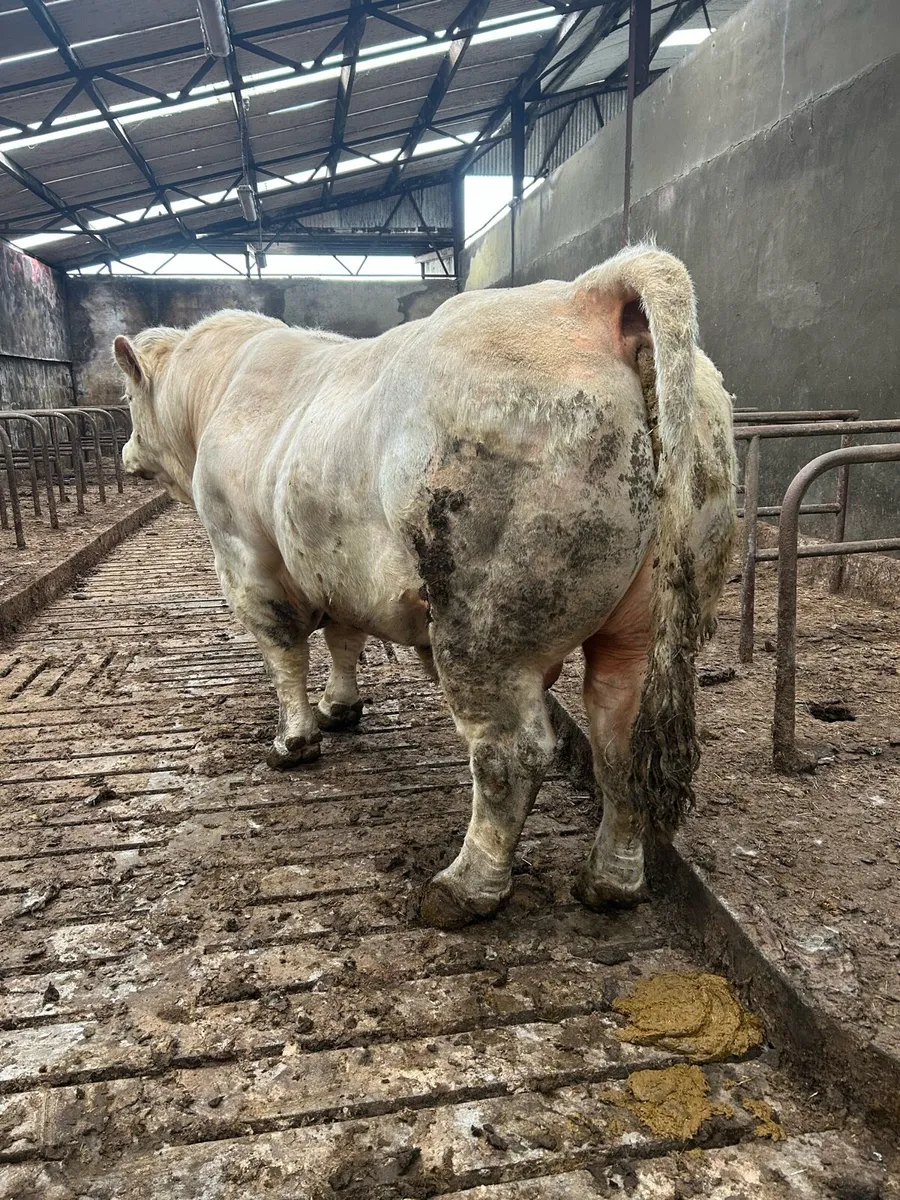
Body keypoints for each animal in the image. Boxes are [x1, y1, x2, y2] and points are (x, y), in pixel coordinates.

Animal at [114, 244, 737, 930]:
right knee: (617, 744)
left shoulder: (245, 558)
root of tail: (589, 294)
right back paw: (610, 881)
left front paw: (293, 740)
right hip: (641, 620)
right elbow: (345, 638)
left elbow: (284, 653)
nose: (126, 453)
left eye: (127, 397)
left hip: (485, 623)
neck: (219, 392)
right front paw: (341, 708)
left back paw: (464, 888)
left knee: (511, 751)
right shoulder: (333, 562)